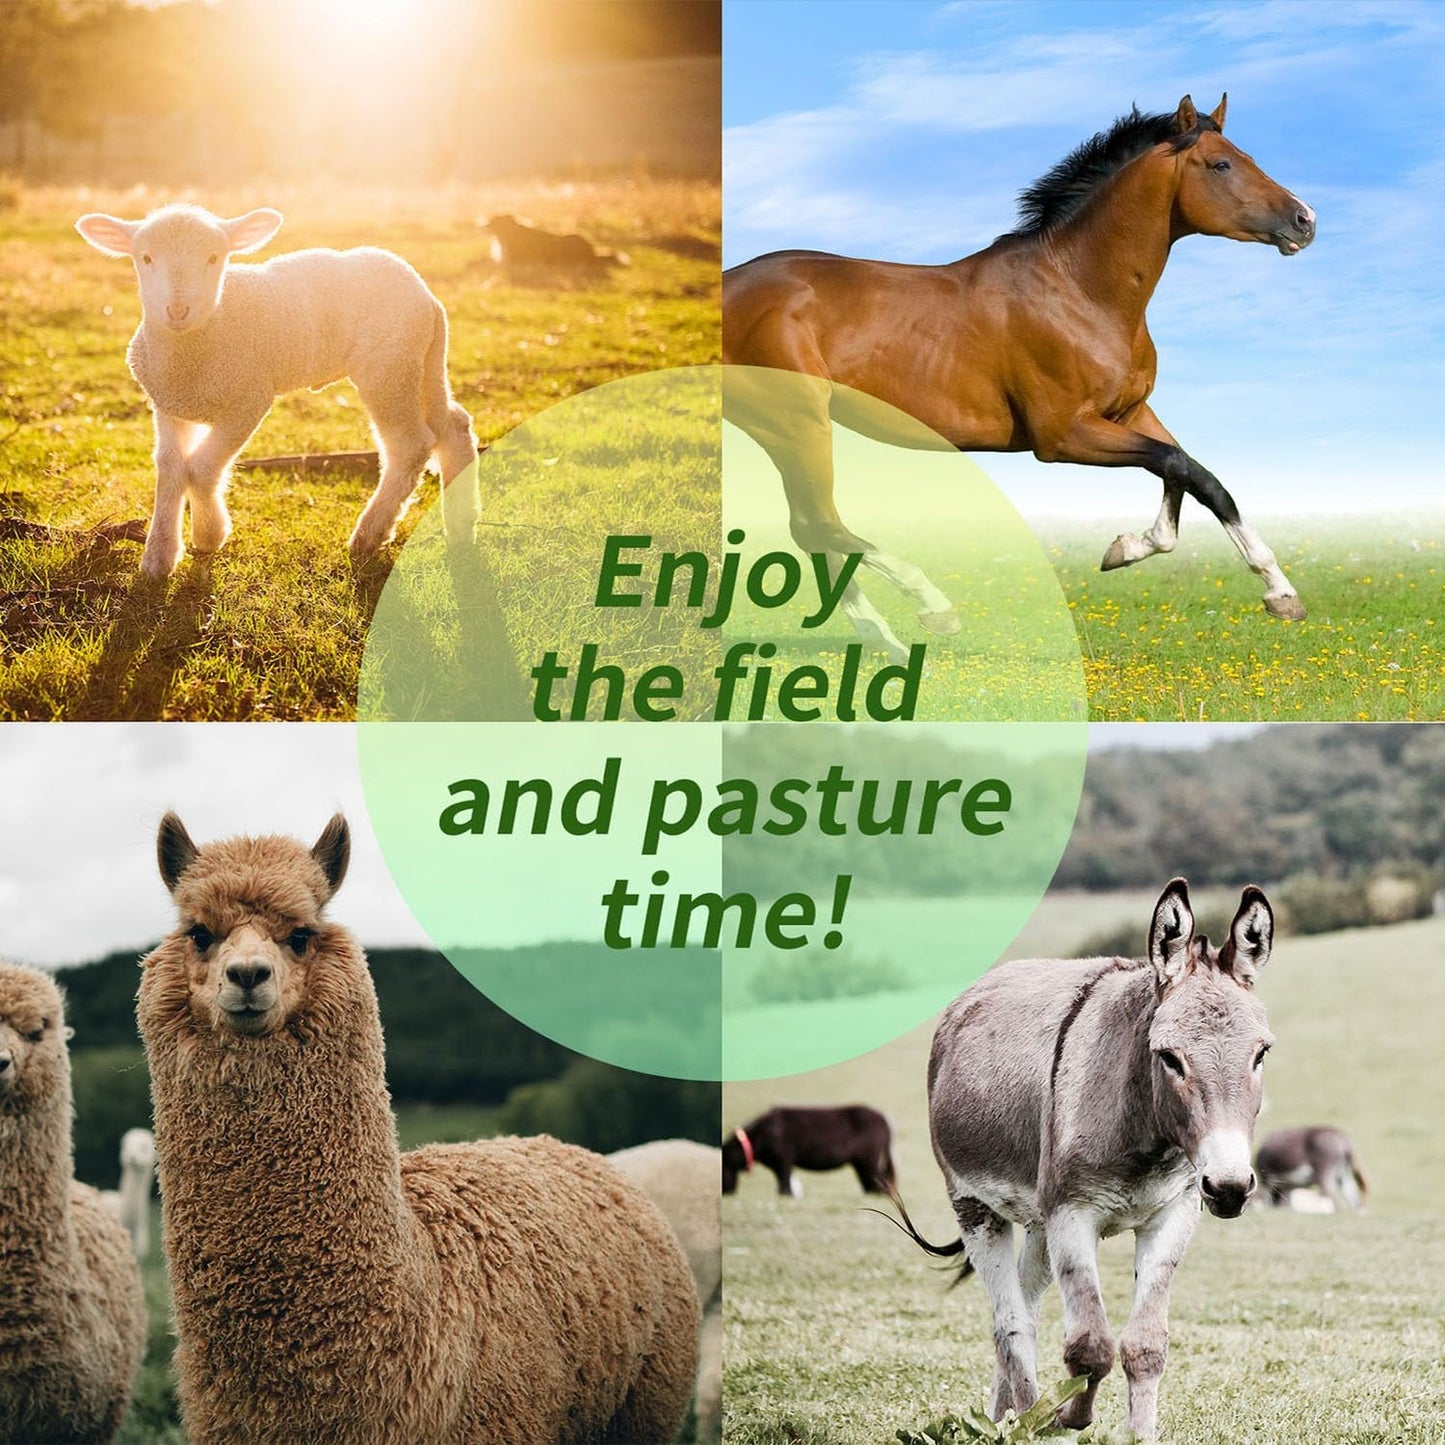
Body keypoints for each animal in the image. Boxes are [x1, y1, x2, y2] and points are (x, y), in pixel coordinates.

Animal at [722, 95, 1316, 660]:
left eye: (1247, 157)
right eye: (1221, 164)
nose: (1305, 220)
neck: (1078, 289)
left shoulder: (1131, 412)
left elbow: (1198, 477)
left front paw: (1274, 591)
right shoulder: (1063, 435)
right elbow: (1179, 466)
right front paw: (1139, 551)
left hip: (787, 431)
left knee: (811, 529)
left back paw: (885, 640)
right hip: (797, 425)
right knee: (818, 524)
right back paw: (930, 609)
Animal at [722, 1104, 895, 1198]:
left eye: (725, 1161)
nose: (725, 1192)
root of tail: (884, 1119)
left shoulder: (783, 1161)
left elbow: (784, 1184)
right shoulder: (780, 1164)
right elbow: (782, 1184)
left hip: (869, 1161)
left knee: (879, 1181)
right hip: (861, 1163)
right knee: (870, 1183)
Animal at [885, 878, 1276, 1438]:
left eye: (1261, 1054)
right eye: (1169, 1058)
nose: (1229, 1187)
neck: (1144, 1133)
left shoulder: (1172, 1215)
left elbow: (1145, 1347)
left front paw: (1138, 1435)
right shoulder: (1072, 1215)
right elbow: (1091, 1347)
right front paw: (1068, 1415)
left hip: (1038, 1224)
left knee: (1025, 1309)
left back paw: (1003, 1417)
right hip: (976, 1207)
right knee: (1011, 1326)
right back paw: (1030, 1420)